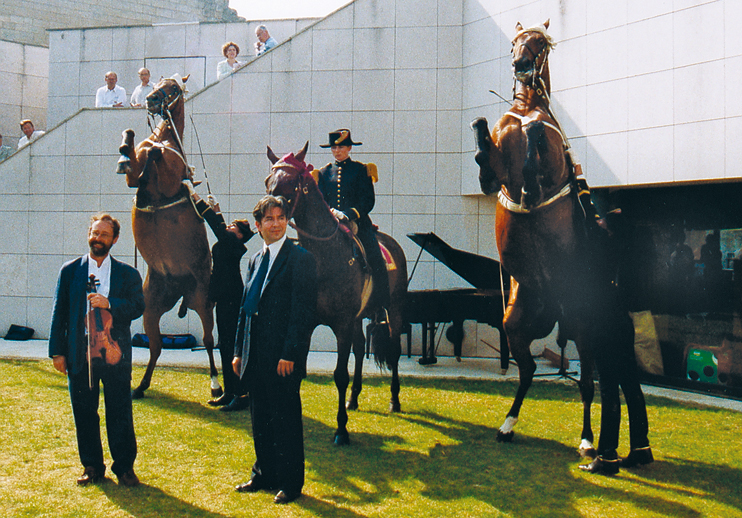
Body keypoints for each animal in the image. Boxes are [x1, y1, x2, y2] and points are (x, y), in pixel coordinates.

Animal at [115, 73, 221, 402]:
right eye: (157, 83)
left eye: (173, 88)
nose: (151, 100)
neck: (165, 137)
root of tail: (181, 291)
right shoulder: (134, 177)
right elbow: (136, 156)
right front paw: (125, 151)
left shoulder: (169, 179)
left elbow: (156, 155)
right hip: (150, 308)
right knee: (156, 346)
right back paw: (140, 386)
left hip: (203, 302)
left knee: (209, 341)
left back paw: (216, 387)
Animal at [264, 142, 410, 446]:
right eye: (267, 180)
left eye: (291, 182)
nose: (264, 212)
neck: (323, 258)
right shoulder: (306, 324)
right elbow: (297, 370)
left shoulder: (341, 324)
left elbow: (340, 375)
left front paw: (341, 430)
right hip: (357, 319)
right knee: (359, 349)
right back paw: (354, 399)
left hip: (394, 310)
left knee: (393, 351)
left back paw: (394, 399)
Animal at [474, 21, 600, 460]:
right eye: (515, 41)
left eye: (540, 43)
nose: (521, 64)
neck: (530, 108)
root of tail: (555, 302)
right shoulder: (496, 170)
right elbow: (485, 152)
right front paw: (481, 136)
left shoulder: (554, 165)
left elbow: (534, 152)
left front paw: (529, 177)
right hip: (516, 321)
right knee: (527, 369)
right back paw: (507, 425)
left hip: (581, 323)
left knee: (587, 381)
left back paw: (588, 442)